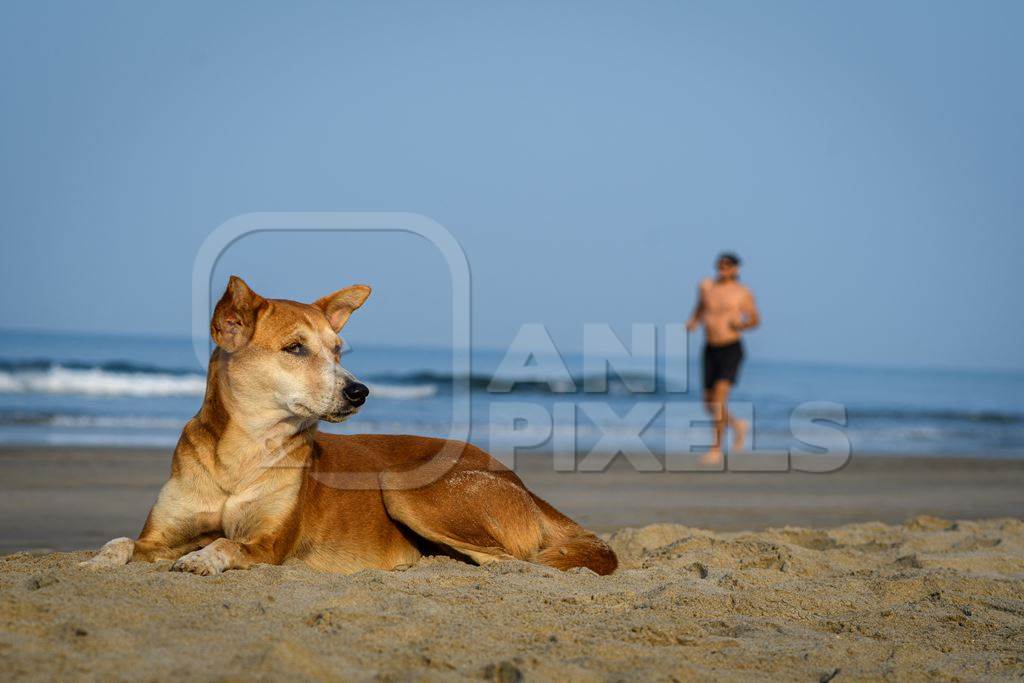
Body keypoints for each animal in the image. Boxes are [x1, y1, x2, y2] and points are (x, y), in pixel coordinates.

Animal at [79, 278, 614, 577]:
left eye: (338, 350)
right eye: (295, 348)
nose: (360, 391)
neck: (243, 453)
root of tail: (521, 483)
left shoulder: (268, 543)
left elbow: (227, 541)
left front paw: (204, 558)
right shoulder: (162, 535)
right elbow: (121, 542)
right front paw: (94, 562)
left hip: (403, 486)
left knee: (510, 563)